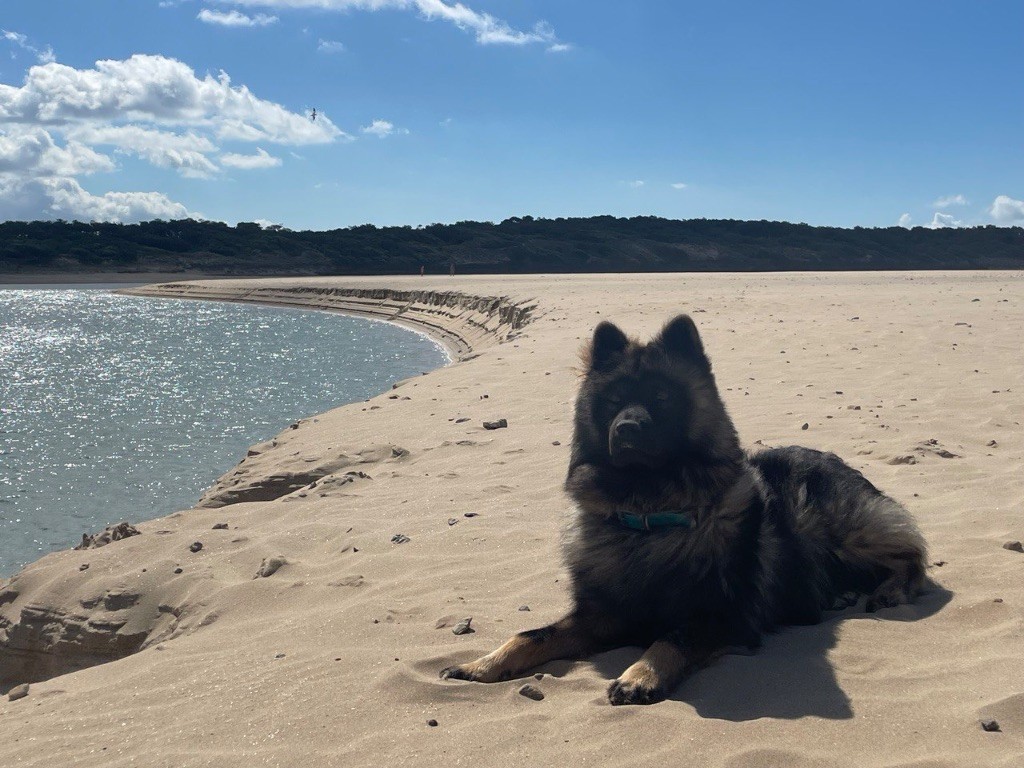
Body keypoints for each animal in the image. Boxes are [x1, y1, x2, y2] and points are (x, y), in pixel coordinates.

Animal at [440, 315, 928, 705]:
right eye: (614, 401)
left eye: (661, 397)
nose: (627, 427)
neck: (648, 523)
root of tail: (831, 456)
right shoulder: (602, 614)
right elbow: (531, 634)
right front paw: (483, 664)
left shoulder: (720, 615)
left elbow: (669, 639)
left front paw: (640, 676)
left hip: (849, 532)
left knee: (912, 555)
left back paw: (888, 591)